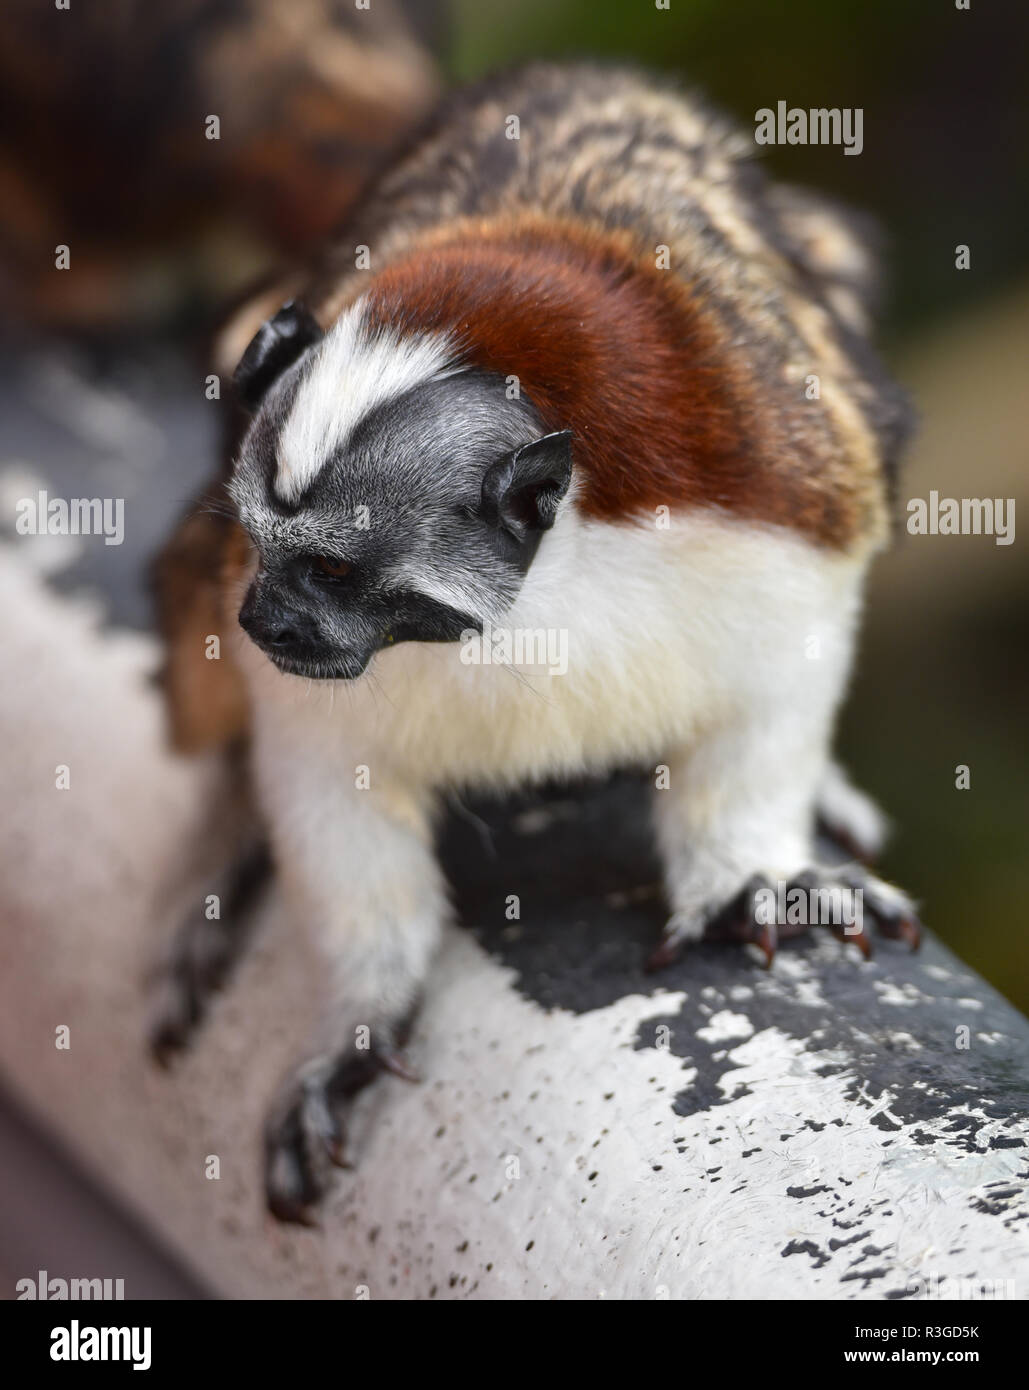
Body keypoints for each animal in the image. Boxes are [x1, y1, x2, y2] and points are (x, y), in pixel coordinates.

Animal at [149, 62, 921, 1224]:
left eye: (333, 569)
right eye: (264, 547)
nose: (263, 621)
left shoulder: (779, 515)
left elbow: (777, 693)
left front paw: (749, 873)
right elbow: (325, 786)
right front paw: (359, 1022)